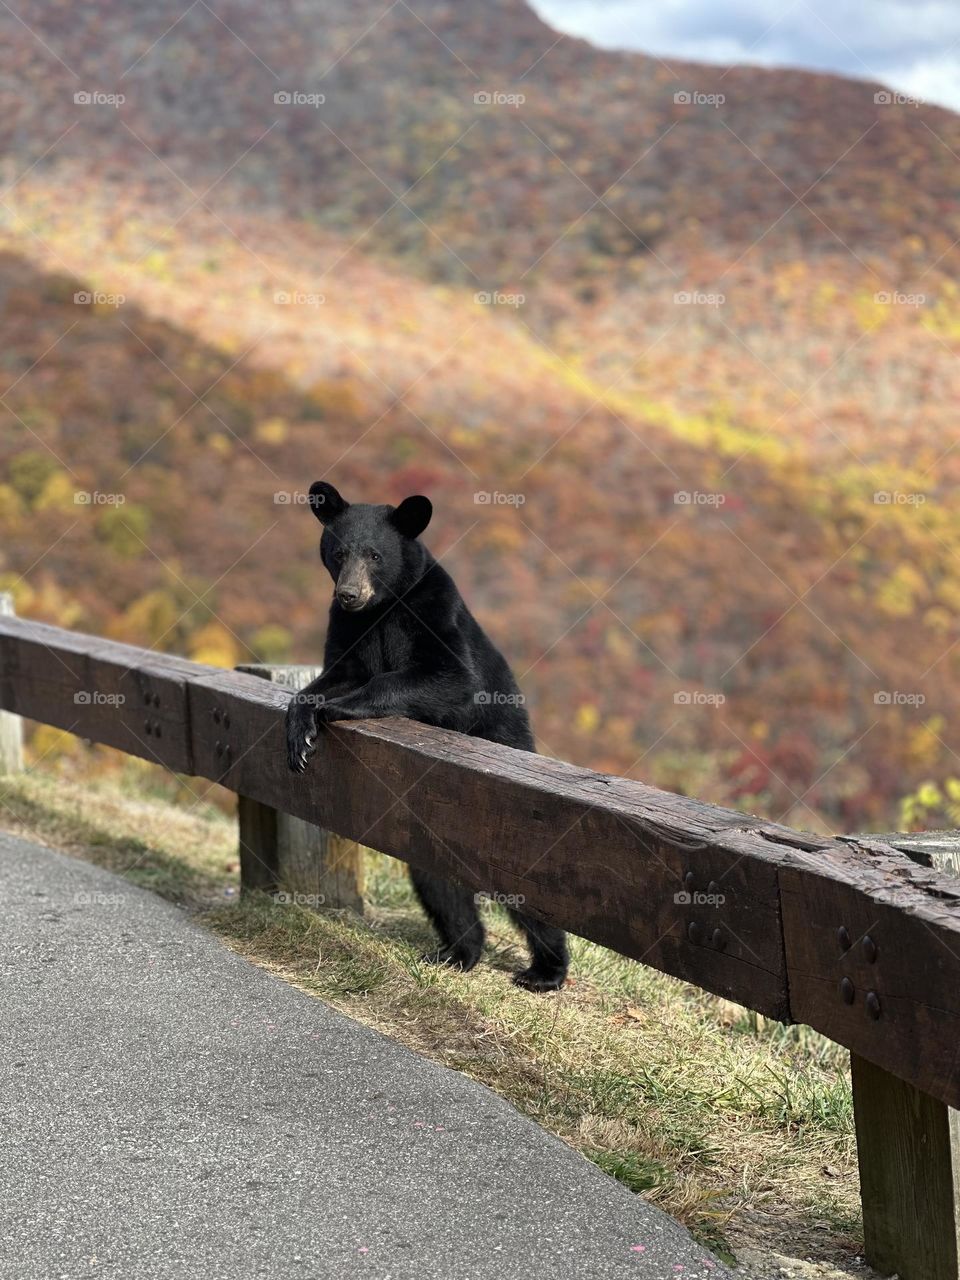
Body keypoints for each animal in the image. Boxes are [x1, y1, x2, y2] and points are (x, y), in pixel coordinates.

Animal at [285, 481, 570, 988]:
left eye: (375, 554)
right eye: (338, 552)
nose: (349, 594)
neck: (381, 610)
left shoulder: (434, 613)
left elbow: (450, 677)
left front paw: (333, 708)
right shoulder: (346, 629)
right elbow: (334, 673)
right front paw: (300, 731)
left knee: (527, 896)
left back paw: (545, 970)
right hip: (430, 828)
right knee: (440, 884)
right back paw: (458, 953)